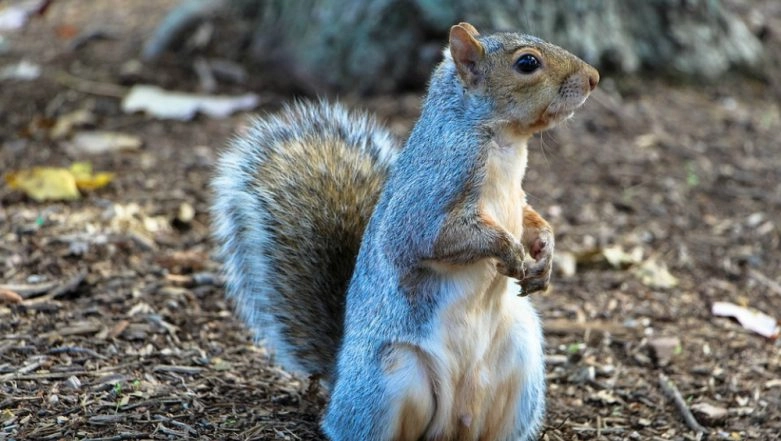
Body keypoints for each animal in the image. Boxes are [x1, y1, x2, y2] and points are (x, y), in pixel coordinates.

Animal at [212, 22, 598, 441]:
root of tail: (340, 379)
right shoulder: (431, 193)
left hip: (521, 360)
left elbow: (530, 218)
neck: (505, 142)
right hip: (392, 377)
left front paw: (545, 253)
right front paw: (509, 250)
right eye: (527, 63)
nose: (594, 77)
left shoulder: (517, 197)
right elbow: (432, 238)